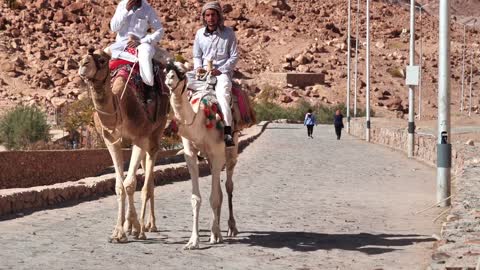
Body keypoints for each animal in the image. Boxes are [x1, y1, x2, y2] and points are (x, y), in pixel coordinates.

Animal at [78, 49, 170, 243]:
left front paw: (135, 228)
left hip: (156, 133)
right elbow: (120, 186)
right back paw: (139, 225)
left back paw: (149, 226)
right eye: (80, 59)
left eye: (102, 60)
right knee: (146, 178)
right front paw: (119, 231)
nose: (83, 65)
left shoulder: (140, 138)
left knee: (148, 182)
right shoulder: (111, 141)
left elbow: (130, 184)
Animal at [164, 62, 242, 250]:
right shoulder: (190, 155)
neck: (199, 121)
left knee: (228, 186)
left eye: (181, 72)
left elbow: (214, 198)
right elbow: (196, 198)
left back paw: (230, 228)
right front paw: (193, 241)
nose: (170, 79)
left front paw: (215, 235)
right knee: (220, 190)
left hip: (231, 152)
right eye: (165, 70)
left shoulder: (217, 154)